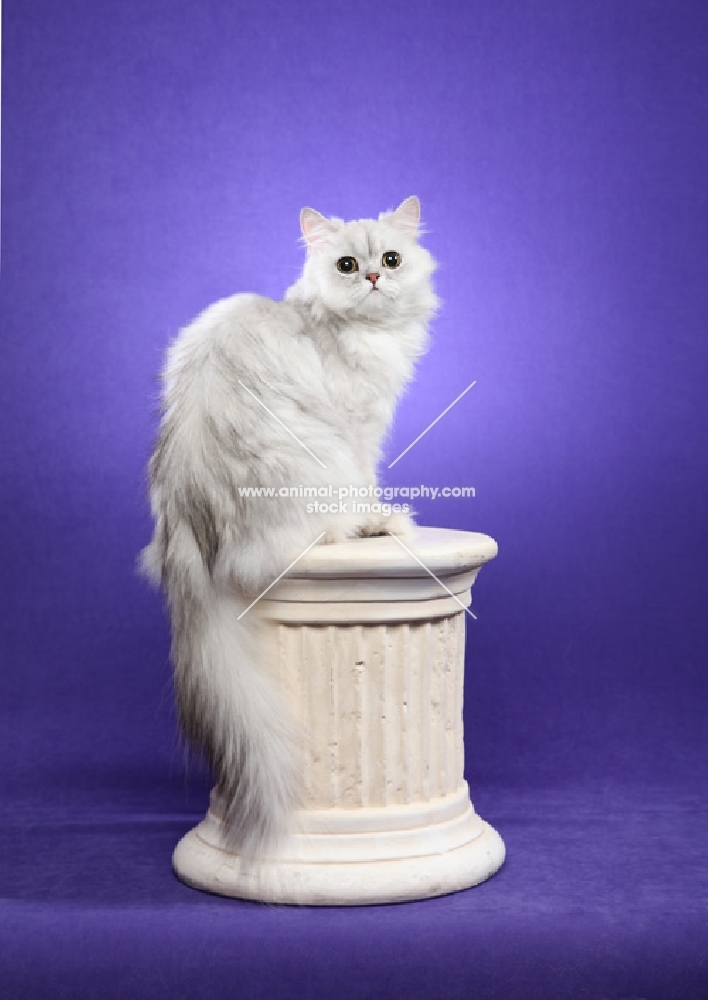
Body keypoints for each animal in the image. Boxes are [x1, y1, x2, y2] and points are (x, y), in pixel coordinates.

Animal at [141, 195, 436, 860]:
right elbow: (369, 480)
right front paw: (381, 516)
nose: (372, 278)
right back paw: (375, 528)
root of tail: (187, 522)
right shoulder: (357, 433)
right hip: (317, 464)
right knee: (325, 531)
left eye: (391, 259)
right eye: (347, 264)